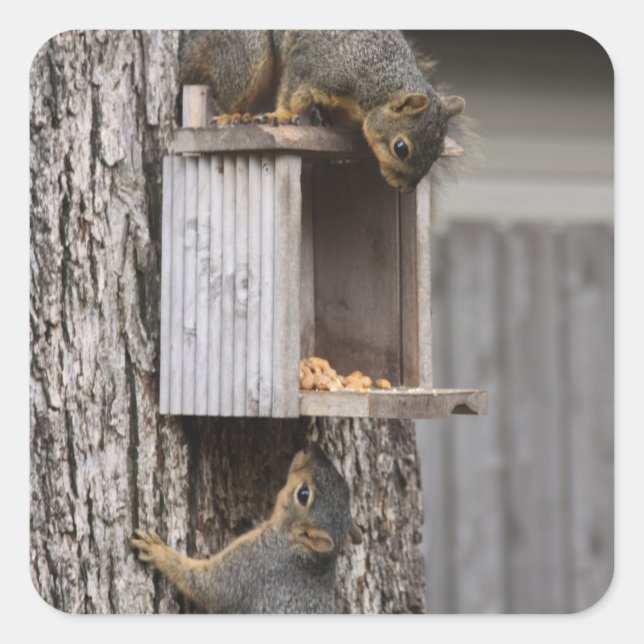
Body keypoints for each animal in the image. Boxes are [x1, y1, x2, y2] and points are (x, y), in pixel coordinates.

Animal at [131, 444, 362, 613]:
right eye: (345, 486)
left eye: (303, 494)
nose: (311, 448)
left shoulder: (252, 565)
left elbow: (208, 586)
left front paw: (157, 550)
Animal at [178, 30, 465, 192]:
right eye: (401, 148)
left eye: (438, 152)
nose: (406, 189)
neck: (376, 76)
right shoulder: (313, 66)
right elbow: (292, 90)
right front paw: (282, 114)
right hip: (247, 55)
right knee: (227, 93)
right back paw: (235, 115)